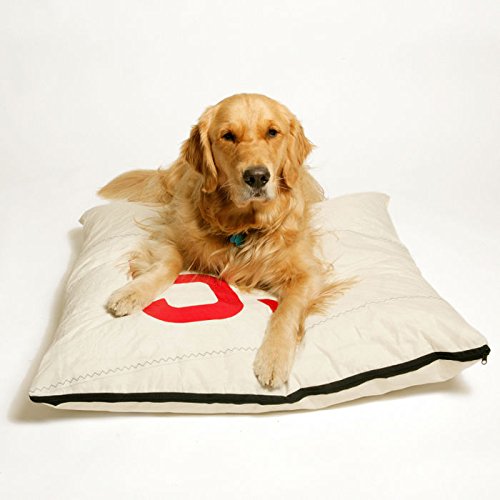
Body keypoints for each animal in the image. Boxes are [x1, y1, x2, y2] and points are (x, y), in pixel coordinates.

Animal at [98, 93, 349, 389]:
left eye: (272, 132)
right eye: (228, 136)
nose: (257, 177)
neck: (244, 226)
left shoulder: (309, 272)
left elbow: (287, 310)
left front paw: (274, 358)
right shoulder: (169, 234)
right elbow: (168, 263)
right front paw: (132, 293)